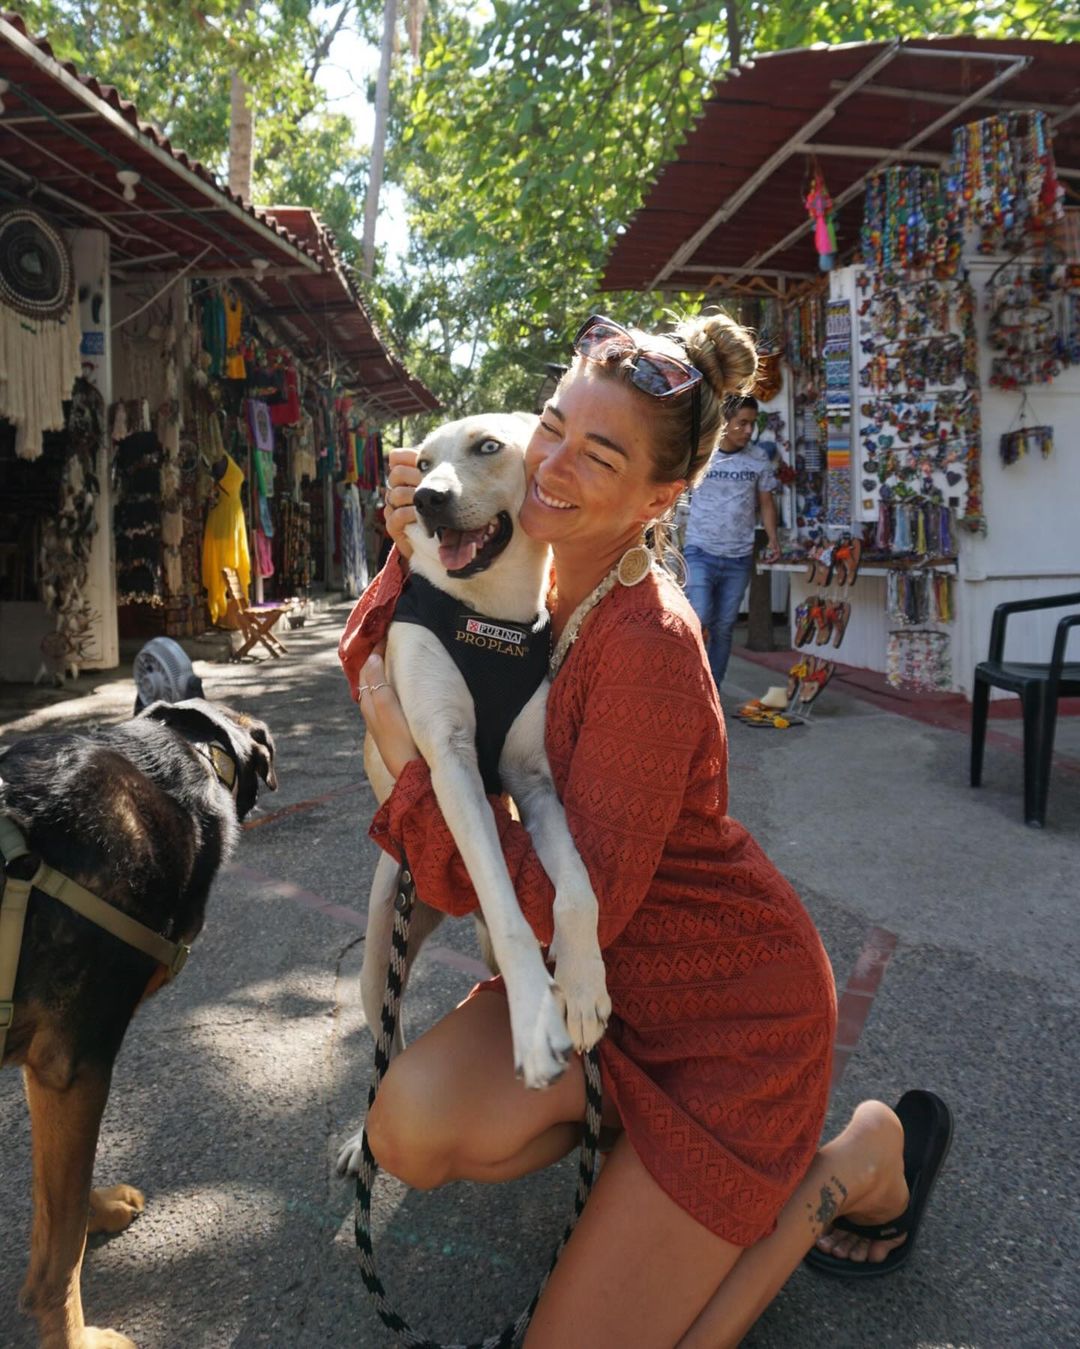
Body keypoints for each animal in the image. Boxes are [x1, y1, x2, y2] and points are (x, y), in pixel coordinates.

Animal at [2, 701, 277, 1343]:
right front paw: (74, 1339)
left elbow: (57, 1199)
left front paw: (97, 1209)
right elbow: (63, 1246)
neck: (185, 755)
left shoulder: (42, 1066)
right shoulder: (74, 1061)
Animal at [339, 410, 606, 1170]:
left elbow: (577, 890)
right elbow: (509, 905)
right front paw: (536, 1017)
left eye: (488, 447)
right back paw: (361, 1143)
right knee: (388, 1049)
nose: (426, 499)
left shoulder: (535, 782)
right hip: (377, 961)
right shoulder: (452, 763)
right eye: (423, 461)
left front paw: (583, 987)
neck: (492, 619)